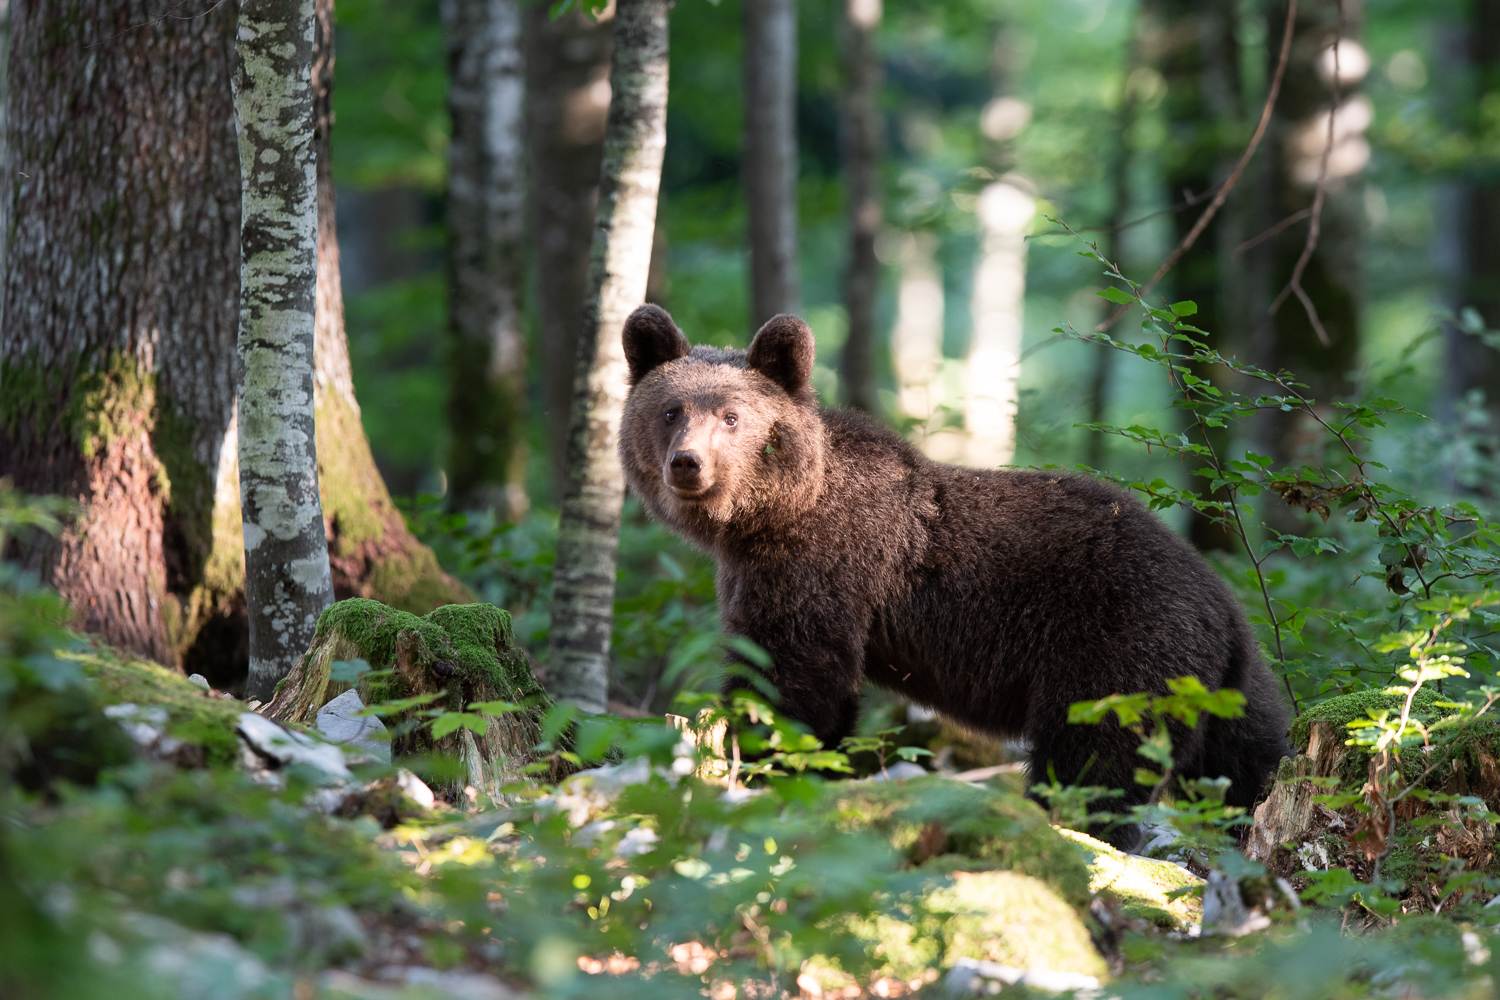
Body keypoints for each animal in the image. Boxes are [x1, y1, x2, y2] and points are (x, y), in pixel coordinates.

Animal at [618, 305, 1290, 839]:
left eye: (731, 416)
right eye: (671, 410)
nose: (687, 463)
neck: (769, 517)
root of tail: (1222, 603)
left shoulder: (824, 566)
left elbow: (792, 679)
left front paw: (765, 759)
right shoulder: (757, 574)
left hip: (1118, 644)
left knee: (1092, 758)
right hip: (1229, 687)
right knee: (1248, 759)